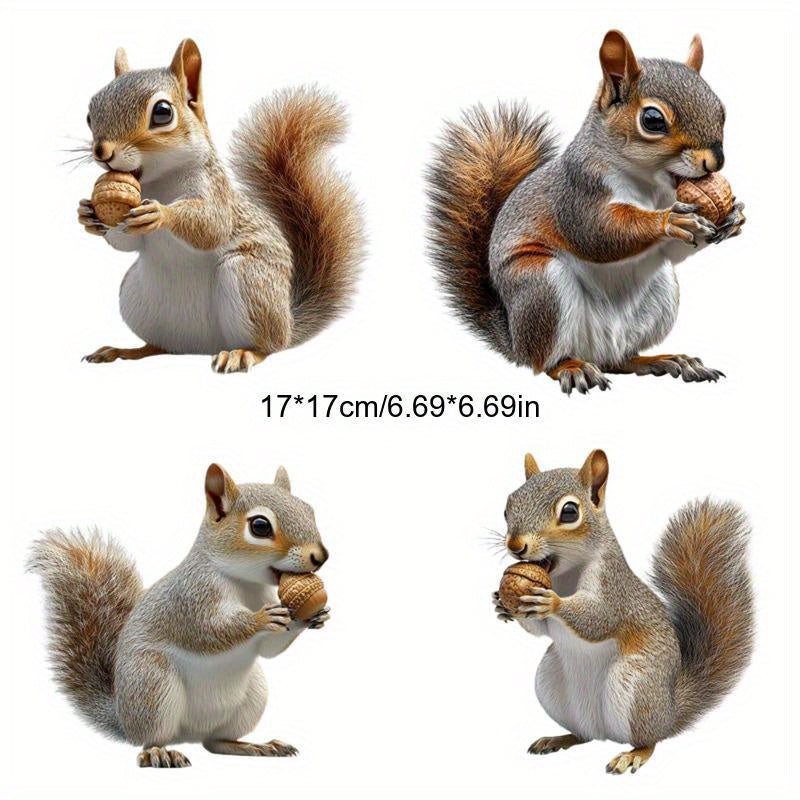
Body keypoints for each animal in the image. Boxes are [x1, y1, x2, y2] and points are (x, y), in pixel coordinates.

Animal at [27, 463, 330, 768]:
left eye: (309, 509)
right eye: (260, 526)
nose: (320, 556)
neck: (244, 582)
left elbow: (268, 649)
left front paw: (312, 616)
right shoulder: (189, 600)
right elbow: (209, 633)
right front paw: (260, 620)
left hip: (251, 697)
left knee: (216, 742)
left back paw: (254, 746)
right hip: (152, 685)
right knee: (151, 738)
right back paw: (159, 752)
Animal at [77, 39, 364, 373]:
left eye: (162, 113)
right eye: (90, 113)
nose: (102, 152)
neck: (160, 179)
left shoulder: (217, 194)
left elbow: (211, 226)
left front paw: (162, 212)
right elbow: (125, 242)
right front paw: (88, 214)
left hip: (249, 280)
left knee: (268, 346)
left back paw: (242, 353)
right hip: (135, 298)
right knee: (159, 346)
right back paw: (122, 350)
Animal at [427, 31, 746, 394]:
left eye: (721, 110)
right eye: (652, 120)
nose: (716, 161)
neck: (650, 185)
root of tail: (515, 339)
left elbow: (673, 251)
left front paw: (733, 217)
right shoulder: (577, 192)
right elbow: (597, 234)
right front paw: (669, 220)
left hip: (660, 294)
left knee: (622, 360)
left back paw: (666, 360)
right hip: (540, 286)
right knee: (545, 362)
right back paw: (572, 367)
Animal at [491, 450, 753, 774]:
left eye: (569, 512)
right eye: (507, 507)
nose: (516, 546)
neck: (564, 575)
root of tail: (669, 710)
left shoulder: (613, 588)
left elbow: (600, 619)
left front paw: (553, 603)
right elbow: (541, 629)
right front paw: (502, 604)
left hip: (635, 686)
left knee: (650, 738)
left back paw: (634, 754)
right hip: (551, 682)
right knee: (584, 734)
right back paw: (558, 738)